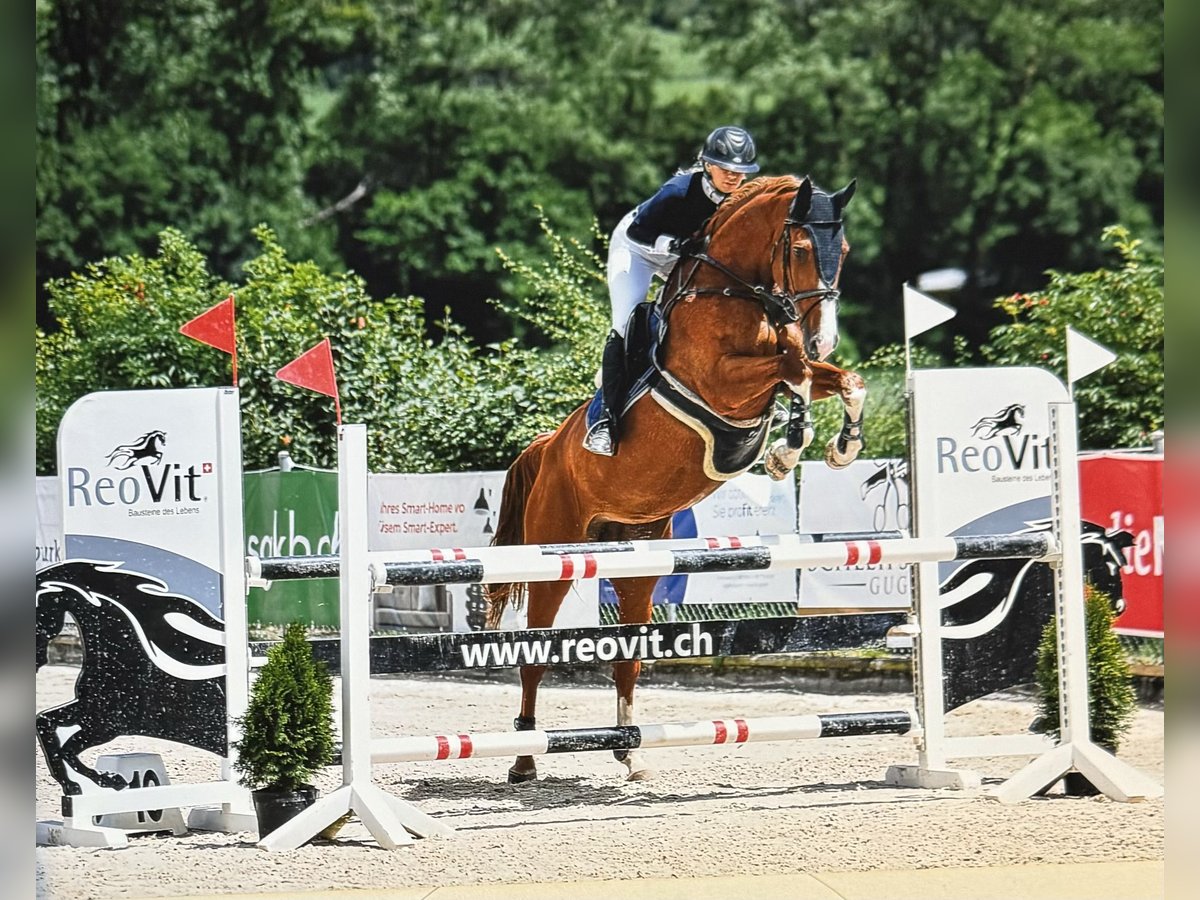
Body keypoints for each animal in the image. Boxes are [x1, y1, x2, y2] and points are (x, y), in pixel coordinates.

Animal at [484, 174, 864, 782]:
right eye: (803, 249)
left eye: (844, 251)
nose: (823, 337)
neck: (739, 295)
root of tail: (549, 449)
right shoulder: (723, 382)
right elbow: (796, 372)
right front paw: (788, 448)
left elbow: (841, 379)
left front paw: (840, 445)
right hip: (556, 555)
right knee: (535, 656)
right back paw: (523, 759)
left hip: (638, 561)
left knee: (627, 655)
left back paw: (631, 752)